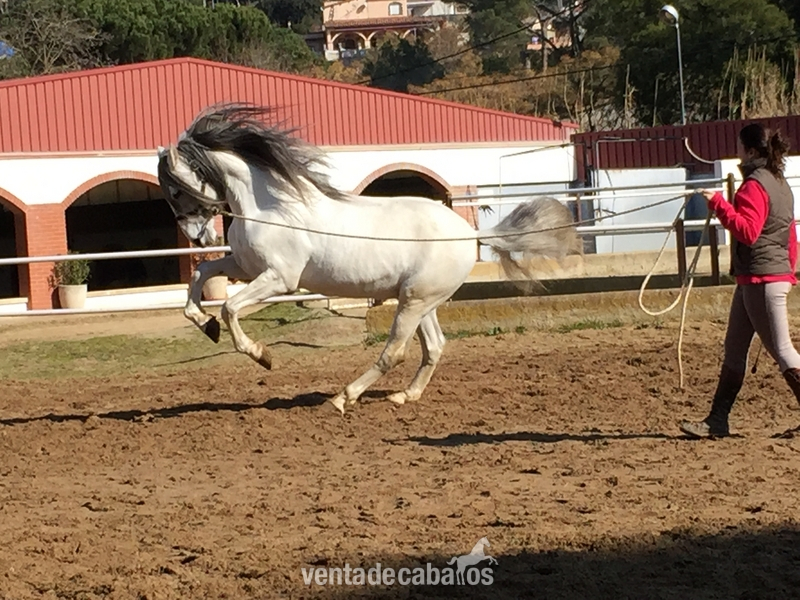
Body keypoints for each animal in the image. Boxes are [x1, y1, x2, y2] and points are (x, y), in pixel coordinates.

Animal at [156, 103, 581, 414]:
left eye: (175, 190)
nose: (199, 236)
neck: (271, 206)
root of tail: (471, 234)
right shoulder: (246, 268)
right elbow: (202, 275)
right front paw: (205, 324)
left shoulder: (279, 278)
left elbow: (229, 307)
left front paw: (262, 356)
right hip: (422, 301)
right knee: (434, 347)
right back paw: (404, 396)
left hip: (414, 302)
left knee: (395, 351)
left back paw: (343, 397)